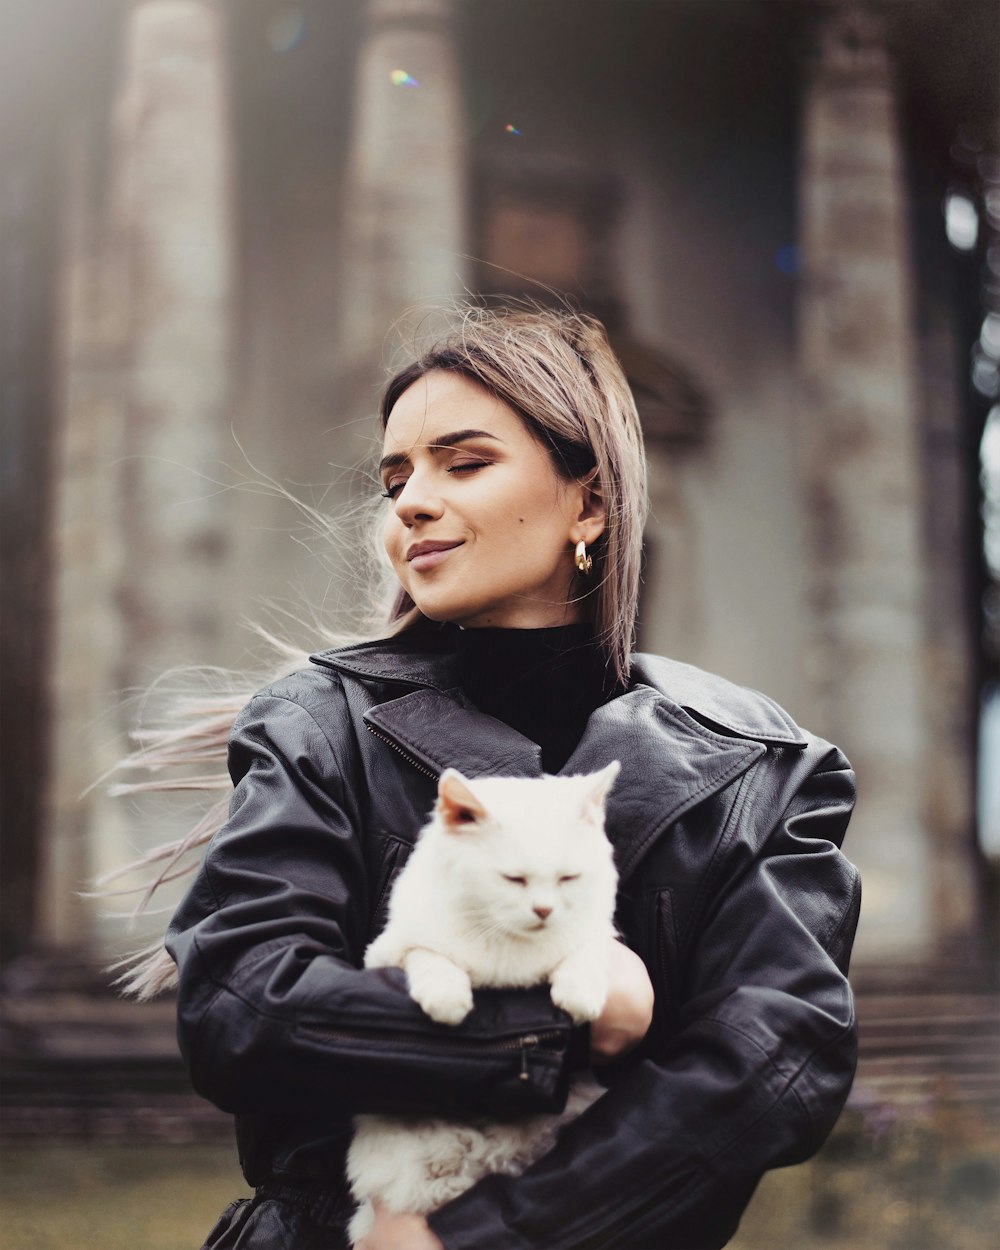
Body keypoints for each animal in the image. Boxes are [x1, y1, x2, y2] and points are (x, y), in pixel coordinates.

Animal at [347, 760, 620, 1240]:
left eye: (568, 878)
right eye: (514, 879)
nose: (545, 911)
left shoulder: (598, 934)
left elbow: (584, 952)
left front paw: (579, 994)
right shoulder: (387, 953)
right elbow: (431, 957)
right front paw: (447, 1000)